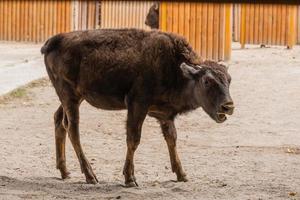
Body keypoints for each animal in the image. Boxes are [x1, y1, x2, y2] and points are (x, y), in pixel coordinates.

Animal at [41, 28, 234, 188]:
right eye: (207, 81)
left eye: (229, 79)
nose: (228, 106)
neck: (176, 69)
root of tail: (53, 41)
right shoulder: (137, 105)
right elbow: (133, 140)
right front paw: (130, 179)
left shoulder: (165, 115)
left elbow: (171, 138)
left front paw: (182, 175)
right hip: (70, 97)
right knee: (72, 129)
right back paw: (90, 176)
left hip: (74, 98)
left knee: (59, 121)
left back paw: (65, 171)